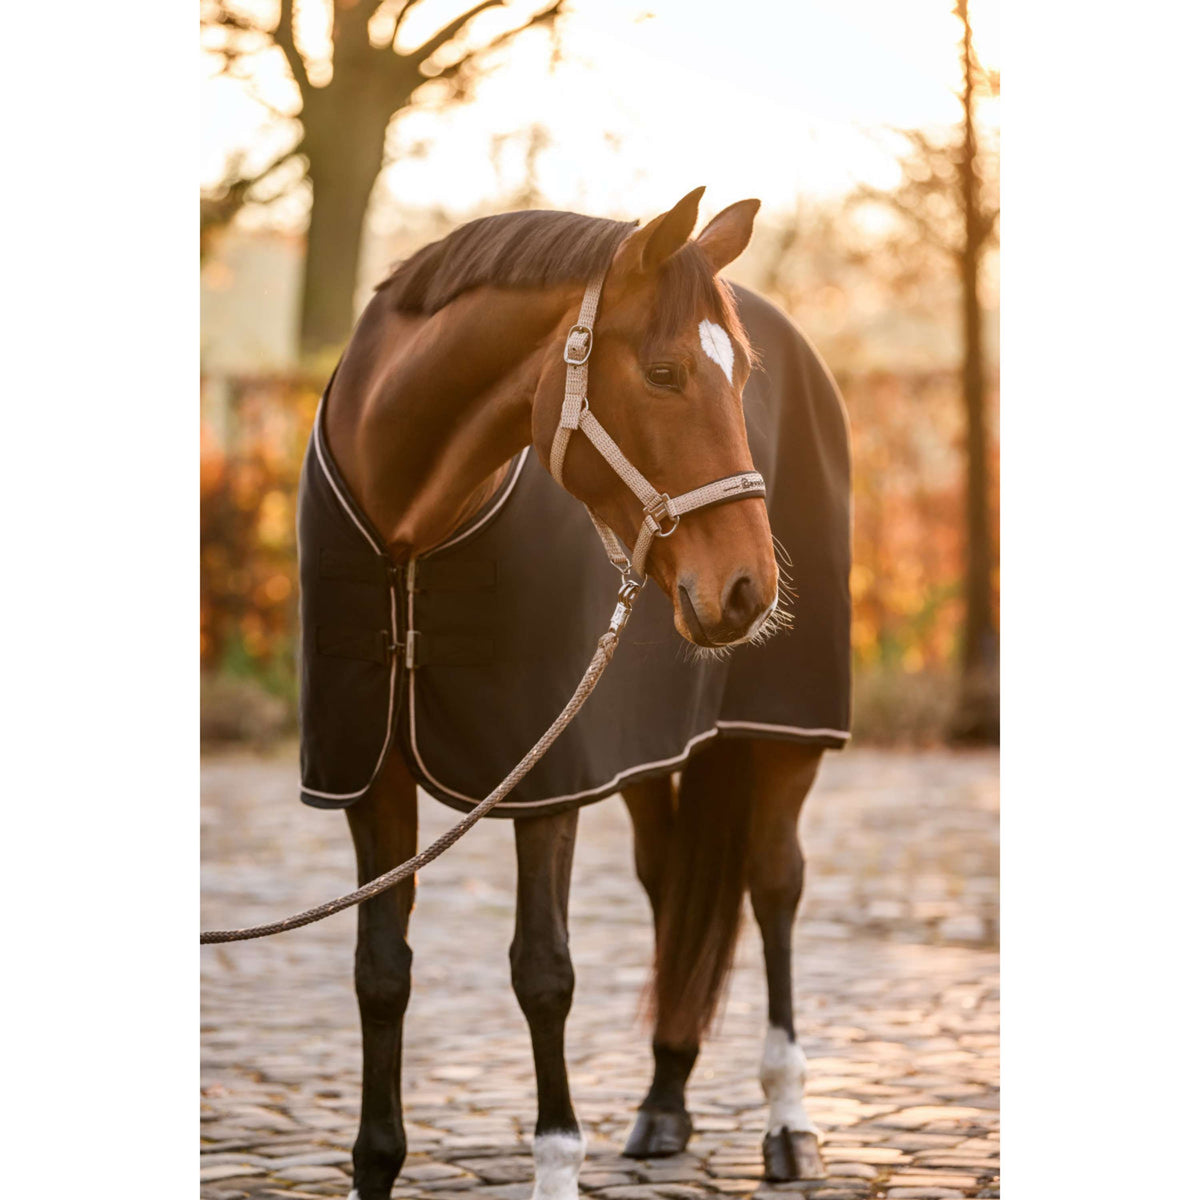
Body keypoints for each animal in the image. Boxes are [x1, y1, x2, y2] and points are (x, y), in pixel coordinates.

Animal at [300, 187, 850, 1200]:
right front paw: (375, 1165)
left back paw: (788, 1122)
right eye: (666, 372)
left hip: (782, 735)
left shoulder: (544, 781)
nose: (749, 589)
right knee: (671, 886)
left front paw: (556, 1163)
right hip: (649, 758)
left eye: (741, 378)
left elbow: (543, 972)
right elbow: (381, 972)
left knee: (774, 885)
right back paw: (665, 1100)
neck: (409, 531)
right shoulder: (373, 776)